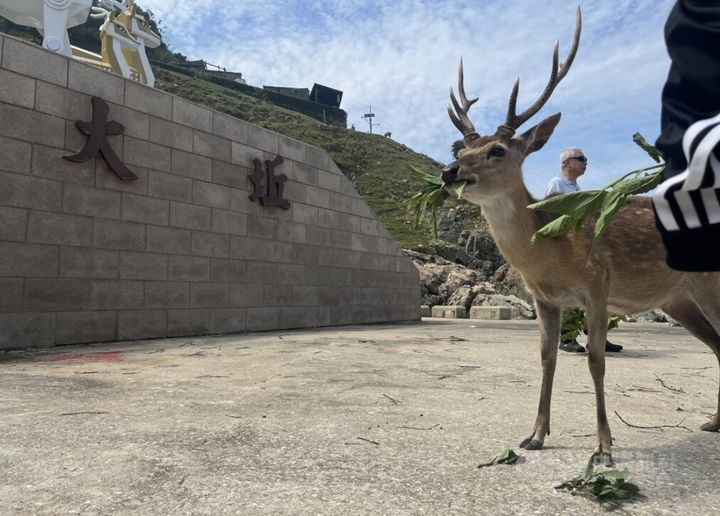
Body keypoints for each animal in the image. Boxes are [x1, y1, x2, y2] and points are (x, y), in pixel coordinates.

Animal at [442, 7, 720, 460]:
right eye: (461, 151)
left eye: (496, 150)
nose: (449, 172)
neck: (553, 255)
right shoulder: (545, 300)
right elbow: (547, 358)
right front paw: (535, 435)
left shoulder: (598, 284)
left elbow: (596, 361)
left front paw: (604, 446)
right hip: (679, 299)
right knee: (717, 344)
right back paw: (713, 421)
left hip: (711, 284)